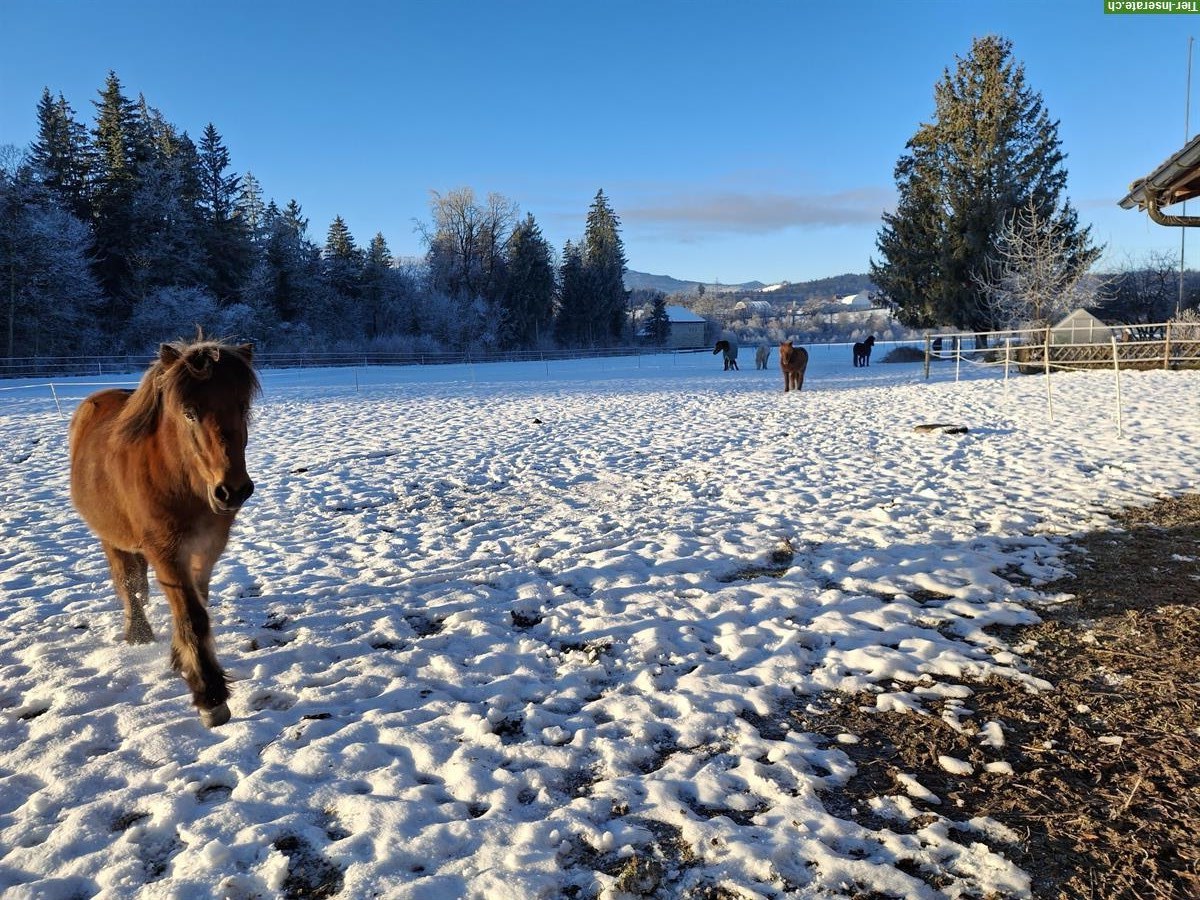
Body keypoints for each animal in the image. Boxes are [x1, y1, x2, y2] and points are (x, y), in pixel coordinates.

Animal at [69, 336, 259, 729]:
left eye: (242, 406)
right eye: (189, 412)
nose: (232, 491)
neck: (182, 480)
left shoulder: (206, 549)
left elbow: (196, 603)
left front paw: (183, 659)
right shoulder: (166, 552)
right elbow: (191, 614)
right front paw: (210, 696)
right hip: (111, 537)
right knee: (128, 583)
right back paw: (138, 634)